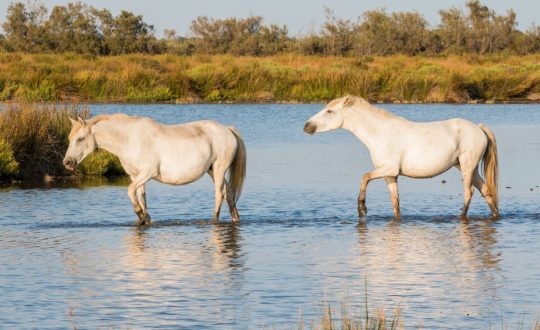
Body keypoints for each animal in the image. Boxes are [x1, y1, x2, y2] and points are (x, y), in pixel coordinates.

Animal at [63, 114, 247, 226]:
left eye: (81, 139)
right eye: (70, 138)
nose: (67, 163)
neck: (130, 139)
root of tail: (227, 129)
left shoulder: (147, 173)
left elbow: (130, 191)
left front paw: (141, 215)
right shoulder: (135, 176)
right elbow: (141, 197)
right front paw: (144, 219)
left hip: (219, 169)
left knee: (219, 195)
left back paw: (214, 221)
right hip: (212, 171)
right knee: (229, 194)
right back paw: (235, 218)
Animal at [304, 95, 498, 219]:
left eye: (329, 111)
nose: (307, 126)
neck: (379, 133)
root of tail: (479, 128)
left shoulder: (388, 168)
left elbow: (364, 177)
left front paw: (362, 209)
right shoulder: (390, 175)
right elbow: (395, 203)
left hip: (467, 167)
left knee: (469, 193)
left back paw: (461, 217)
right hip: (467, 167)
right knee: (486, 191)